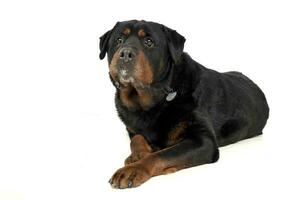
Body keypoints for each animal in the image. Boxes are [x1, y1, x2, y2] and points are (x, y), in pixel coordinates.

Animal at [99, 20, 270, 189]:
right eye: (119, 40)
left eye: (149, 42)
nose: (125, 53)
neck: (151, 102)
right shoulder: (132, 129)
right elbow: (137, 139)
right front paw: (138, 155)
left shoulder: (203, 140)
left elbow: (161, 155)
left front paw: (133, 169)